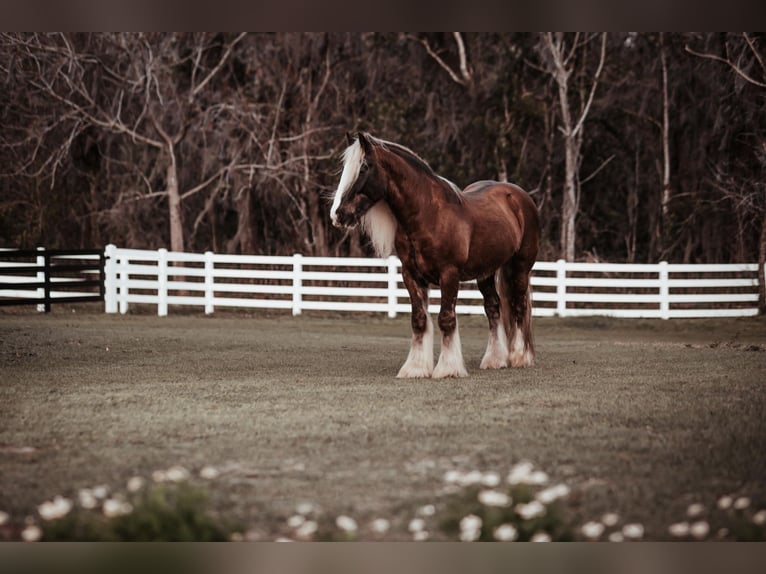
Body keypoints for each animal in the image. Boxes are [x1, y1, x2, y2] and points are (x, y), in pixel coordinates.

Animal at [330, 133, 540, 380]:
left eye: (363, 167)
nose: (338, 214)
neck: (428, 215)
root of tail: (519, 196)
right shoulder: (411, 275)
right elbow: (419, 320)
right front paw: (416, 368)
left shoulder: (449, 274)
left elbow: (446, 318)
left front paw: (448, 368)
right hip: (485, 273)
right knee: (493, 307)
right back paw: (495, 360)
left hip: (520, 268)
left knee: (519, 306)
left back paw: (520, 357)